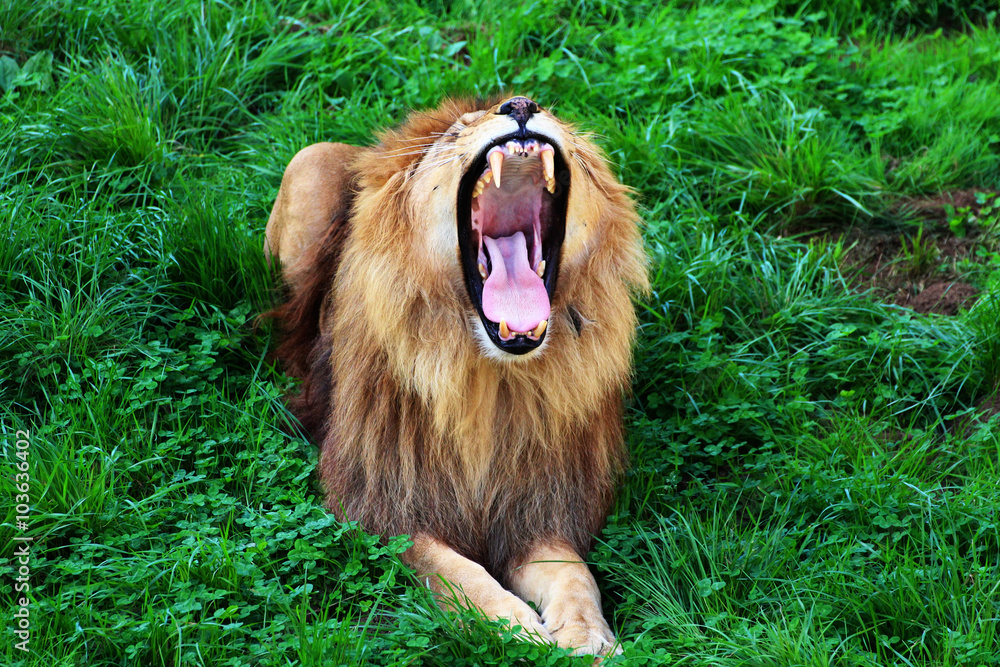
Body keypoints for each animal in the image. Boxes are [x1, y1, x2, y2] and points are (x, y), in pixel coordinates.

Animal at [263, 96, 648, 656]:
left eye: (550, 110)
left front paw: (588, 637)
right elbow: (456, 573)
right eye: (456, 133)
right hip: (309, 162)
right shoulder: (382, 505)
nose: (521, 105)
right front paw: (516, 629)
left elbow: (576, 576)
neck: (490, 378)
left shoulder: (537, 510)